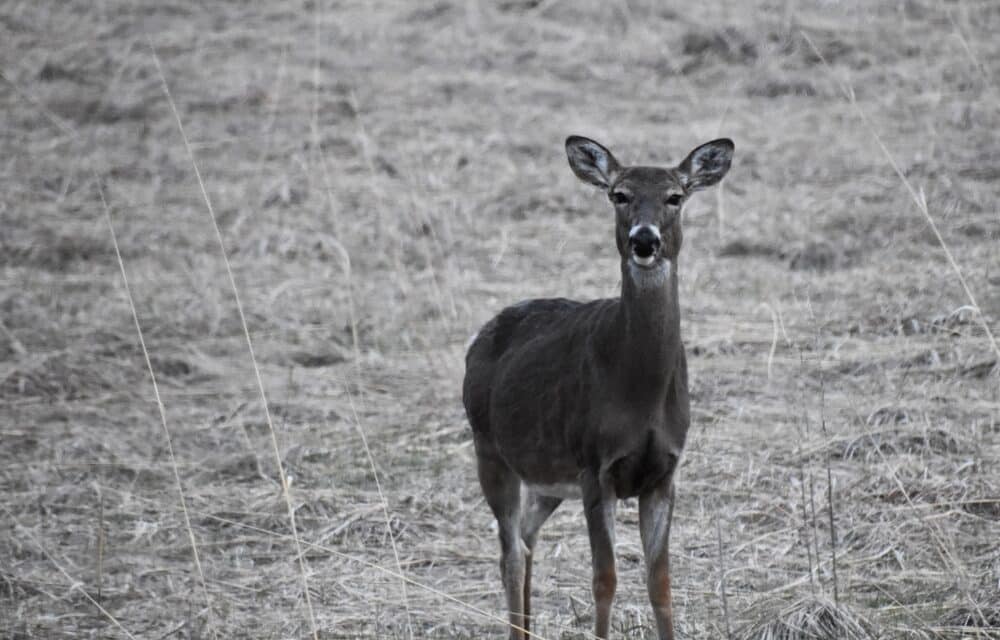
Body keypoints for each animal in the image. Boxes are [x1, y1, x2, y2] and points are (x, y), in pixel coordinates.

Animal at [462, 135, 734, 639]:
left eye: (675, 196)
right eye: (618, 194)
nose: (644, 239)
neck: (639, 390)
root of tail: (481, 337)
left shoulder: (664, 473)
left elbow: (661, 583)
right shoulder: (595, 467)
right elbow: (604, 579)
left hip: (546, 474)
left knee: (526, 538)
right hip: (489, 449)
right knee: (510, 553)